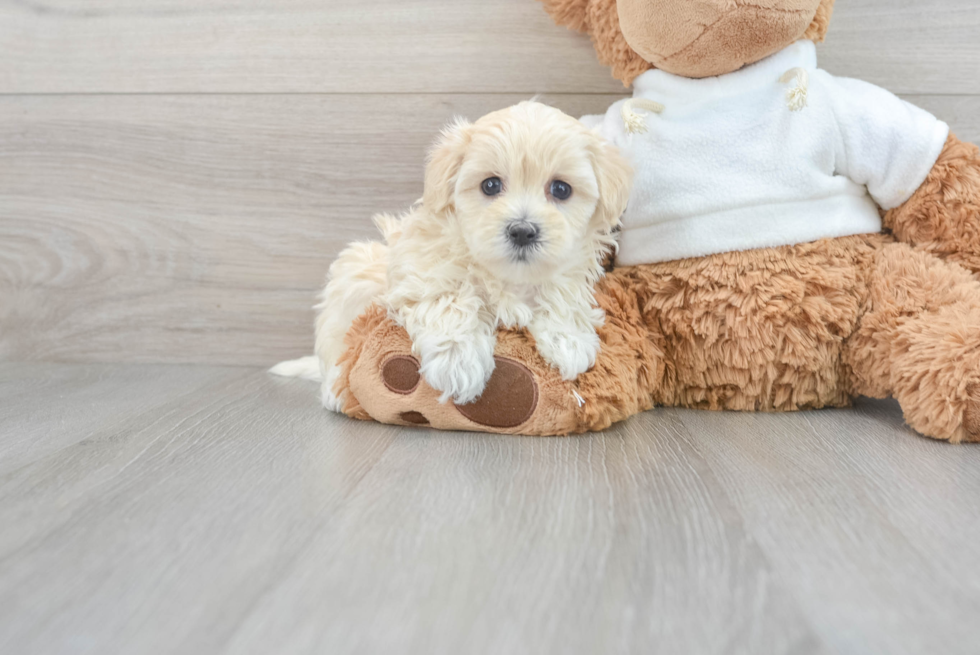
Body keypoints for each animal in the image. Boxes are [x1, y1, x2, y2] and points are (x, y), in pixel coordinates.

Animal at [272, 101, 632, 410]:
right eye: (490, 185)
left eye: (560, 189)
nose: (522, 230)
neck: (507, 277)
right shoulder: (419, 271)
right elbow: (449, 299)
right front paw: (458, 361)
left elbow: (562, 295)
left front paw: (569, 339)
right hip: (352, 277)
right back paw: (336, 390)